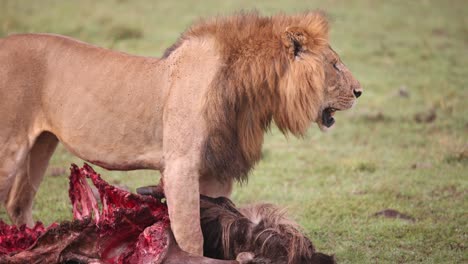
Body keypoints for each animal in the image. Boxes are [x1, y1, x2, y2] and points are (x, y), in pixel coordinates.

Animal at [0, 11, 362, 255]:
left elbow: (210, 222)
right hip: (10, 147)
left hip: (42, 143)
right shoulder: (180, 166)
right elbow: (190, 235)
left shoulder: (214, 172)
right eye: (334, 65)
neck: (249, 95)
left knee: (19, 203)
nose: (359, 91)